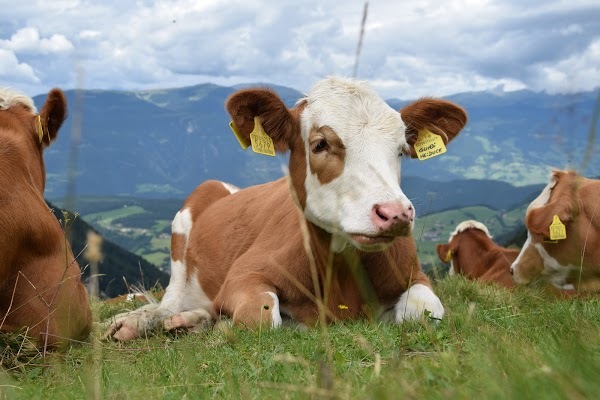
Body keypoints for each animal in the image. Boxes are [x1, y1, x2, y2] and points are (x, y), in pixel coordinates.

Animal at [104, 76, 468, 340]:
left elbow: (425, 311)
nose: (395, 214)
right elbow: (263, 316)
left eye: (401, 149)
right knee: (170, 301)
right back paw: (138, 323)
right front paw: (225, 323)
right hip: (183, 234)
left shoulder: (415, 275)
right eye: (320, 144)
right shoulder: (244, 273)